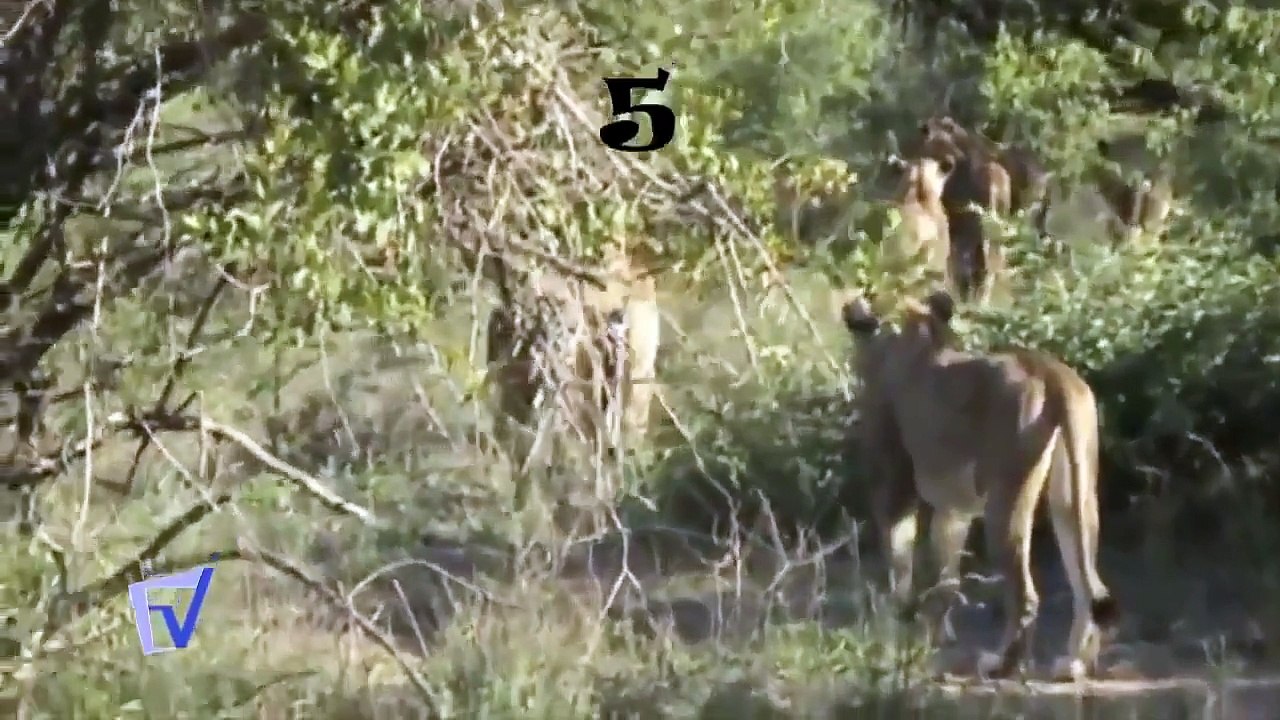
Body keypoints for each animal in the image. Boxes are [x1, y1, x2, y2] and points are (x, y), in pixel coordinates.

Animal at [841, 288, 1118, 681]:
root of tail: (1049, 371)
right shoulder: (954, 510)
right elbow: (948, 572)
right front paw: (939, 632)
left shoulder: (895, 486)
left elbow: (899, 556)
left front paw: (896, 621)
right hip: (1074, 495)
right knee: (1085, 581)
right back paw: (1074, 662)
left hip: (1005, 496)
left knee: (1025, 595)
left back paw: (1001, 663)